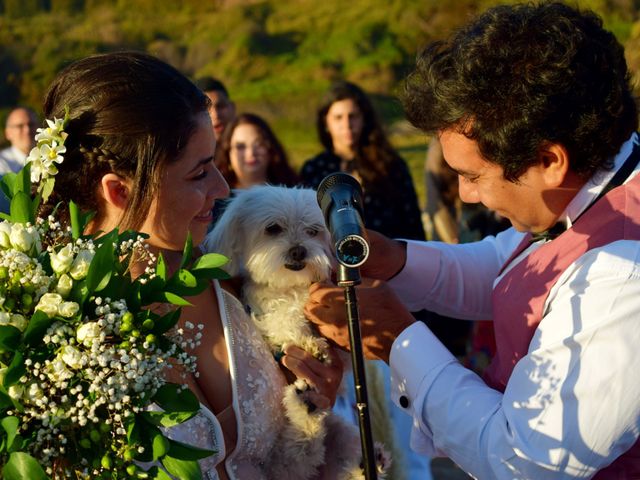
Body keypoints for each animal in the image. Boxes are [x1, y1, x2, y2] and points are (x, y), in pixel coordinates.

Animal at [205, 186, 388, 480]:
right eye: (273, 228)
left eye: (313, 231)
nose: (299, 250)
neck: (291, 285)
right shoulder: (267, 308)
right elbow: (283, 316)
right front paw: (309, 343)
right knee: (294, 457)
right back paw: (306, 408)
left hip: (342, 433)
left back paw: (367, 461)